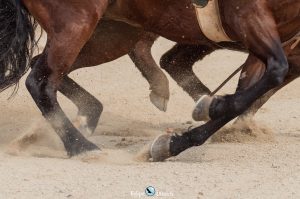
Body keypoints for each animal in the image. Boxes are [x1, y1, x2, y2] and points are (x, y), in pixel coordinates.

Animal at [0, 0, 298, 159]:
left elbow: (249, 93)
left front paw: (174, 143)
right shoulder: (248, 16)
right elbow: (273, 73)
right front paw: (211, 105)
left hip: (115, 32)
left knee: (42, 67)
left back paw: (88, 115)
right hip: (76, 22)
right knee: (40, 81)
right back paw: (81, 147)